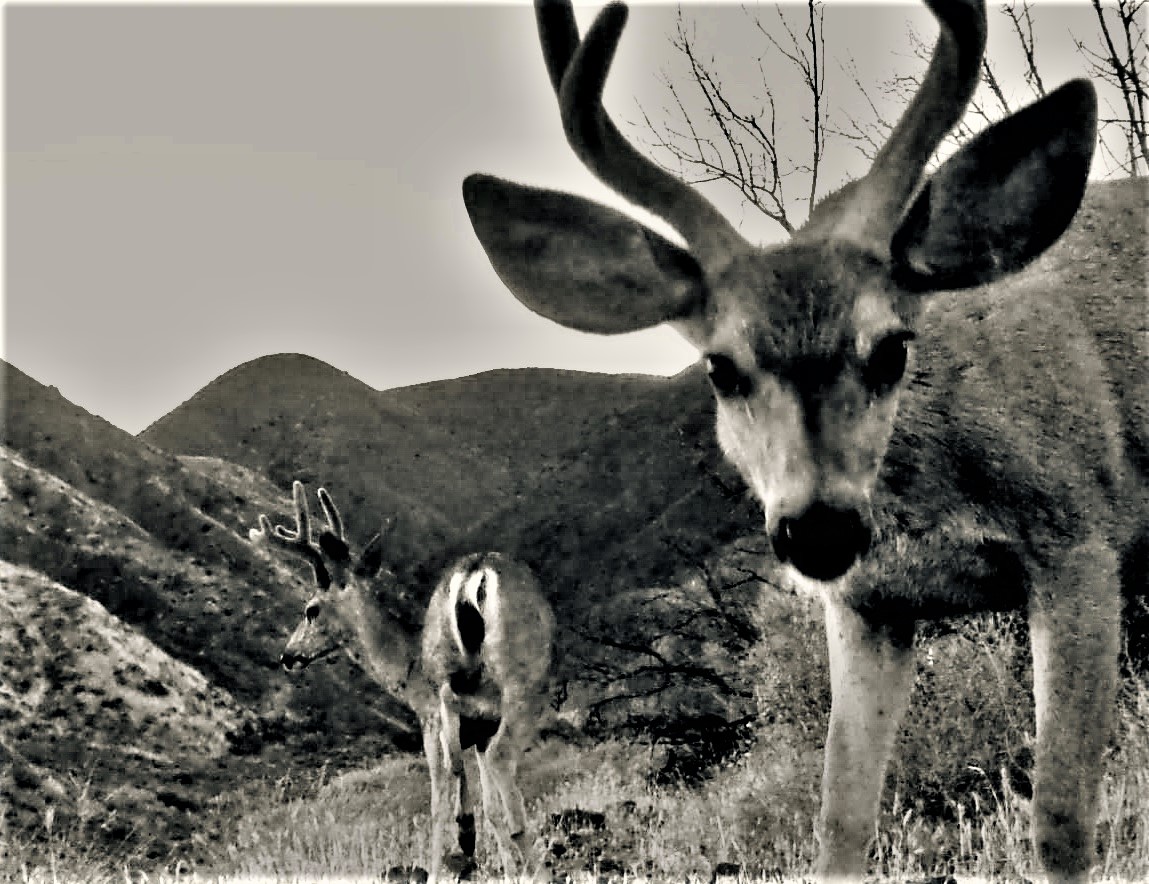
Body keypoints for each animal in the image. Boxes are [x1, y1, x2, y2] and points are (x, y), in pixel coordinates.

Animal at [252, 478, 556, 878]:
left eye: (311, 609)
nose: (287, 656)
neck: (408, 674)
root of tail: (474, 574)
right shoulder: (477, 730)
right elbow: (486, 808)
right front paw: (502, 866)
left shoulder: (431, 721)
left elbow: (440, 803)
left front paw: (441, 868)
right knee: (487, 763)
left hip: (523, 679)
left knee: (497, 758)